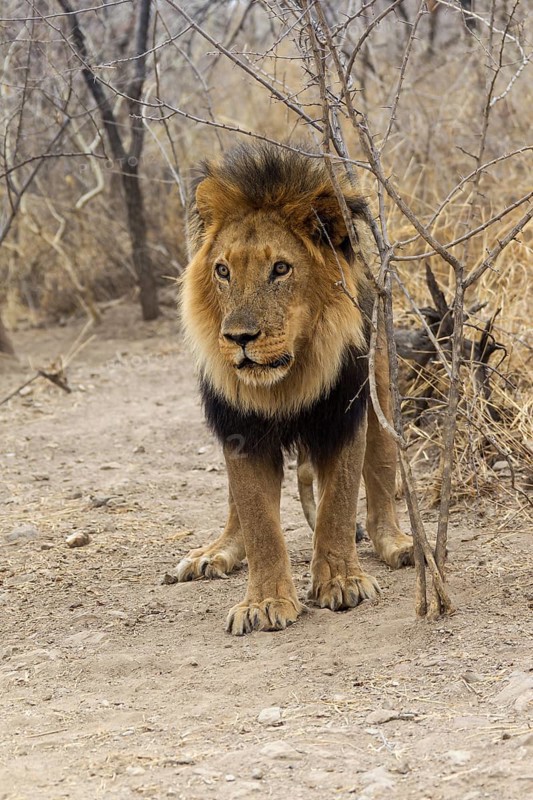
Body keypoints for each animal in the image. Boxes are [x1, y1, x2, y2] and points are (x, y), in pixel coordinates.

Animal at [177, 143, 413, 635]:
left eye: (281, 268)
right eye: (223, 271)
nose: (239, 338)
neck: (285, 382)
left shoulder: (342, 416)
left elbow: (338, 503)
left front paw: (342, 581)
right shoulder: (239, 428)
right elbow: (258, 520)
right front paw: (265, 602)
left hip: (380, 389)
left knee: (381, 479)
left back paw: (398, 544)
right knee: (235, 509)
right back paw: (217, 552)